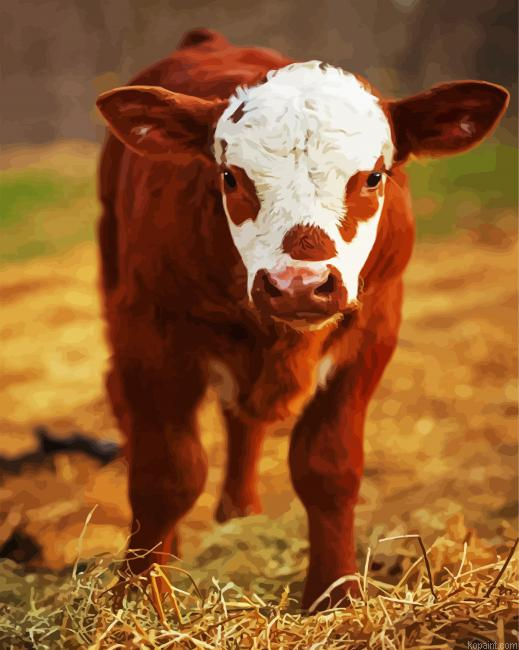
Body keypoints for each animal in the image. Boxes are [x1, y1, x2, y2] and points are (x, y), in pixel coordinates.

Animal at [96, 28, 508, 609]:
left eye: (373, 177)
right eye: (230, 177)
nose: (299, 284)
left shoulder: (373, 332)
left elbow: (328, 467)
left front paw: (335, 594)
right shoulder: (149, 330)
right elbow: (166, 473)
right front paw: (139, 594)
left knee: (242, 421)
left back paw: (240, 514)